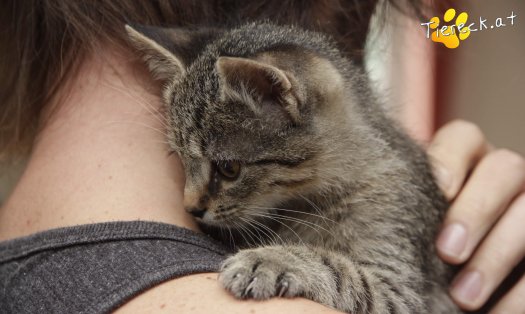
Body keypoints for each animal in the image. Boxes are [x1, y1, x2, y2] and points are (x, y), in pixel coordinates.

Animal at [126, 22, 458, 314]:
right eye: (180, 158)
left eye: (229, 168)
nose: (191, 208)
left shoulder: (401, 288)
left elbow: (342, 270)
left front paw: (273, 260)